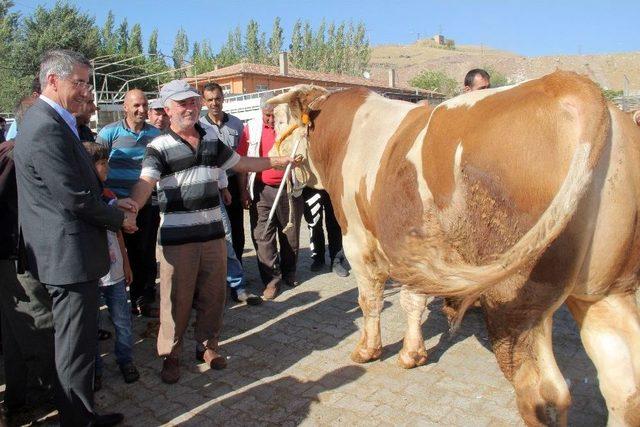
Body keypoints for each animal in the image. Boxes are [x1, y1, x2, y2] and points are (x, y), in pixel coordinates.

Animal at [268, 72, 640, 426]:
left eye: (281, 118)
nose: (270, 157)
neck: (348, 135)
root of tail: (569, 84)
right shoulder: (415, 252)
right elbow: (413, 300)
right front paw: (412, 354)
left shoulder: (358, 241)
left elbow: (369, 299)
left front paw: (367, 350)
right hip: (607, 292)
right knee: (625, 389)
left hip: (518, 298)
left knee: (542, 393)